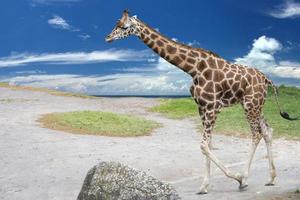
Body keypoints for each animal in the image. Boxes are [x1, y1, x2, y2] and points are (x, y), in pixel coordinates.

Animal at [105, 9, 298, 194]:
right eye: (116, 23)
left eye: (124, 26)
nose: (107, 37)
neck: (193, 68)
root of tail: (266, 79)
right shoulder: (202, 107)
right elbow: (209, 144)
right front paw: (205, 186)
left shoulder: (213, 107)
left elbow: (204, 145)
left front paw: (236, 179)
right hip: (255, 104)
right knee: (267, 130)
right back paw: (271, 178)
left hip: (251, 104)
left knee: (256, 133)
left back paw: (245, 178)